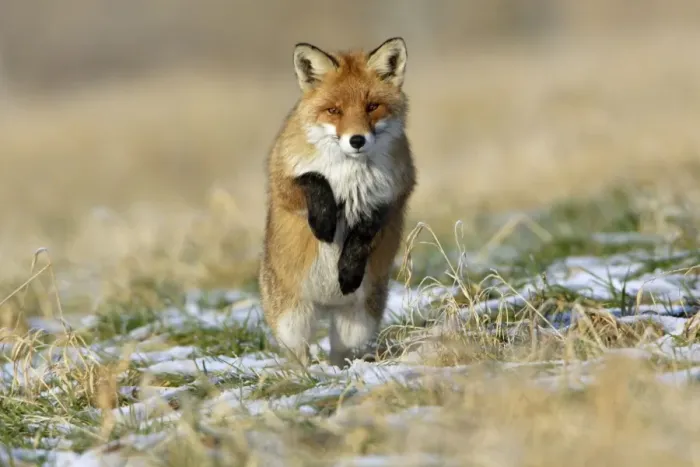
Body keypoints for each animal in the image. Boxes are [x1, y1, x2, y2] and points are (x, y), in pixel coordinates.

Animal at [259, 37, 416, 368]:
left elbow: (365, 232)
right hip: (292, 321)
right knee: (299, 354)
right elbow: (313, 179)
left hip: (357, 324)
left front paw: (348, 270)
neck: (349, 174)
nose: (357, 140)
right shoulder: (281, 181)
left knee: (340, 352)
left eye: (372, 107)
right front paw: (323, 223)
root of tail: (327, 304)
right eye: (334, 110)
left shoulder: (394, 195)